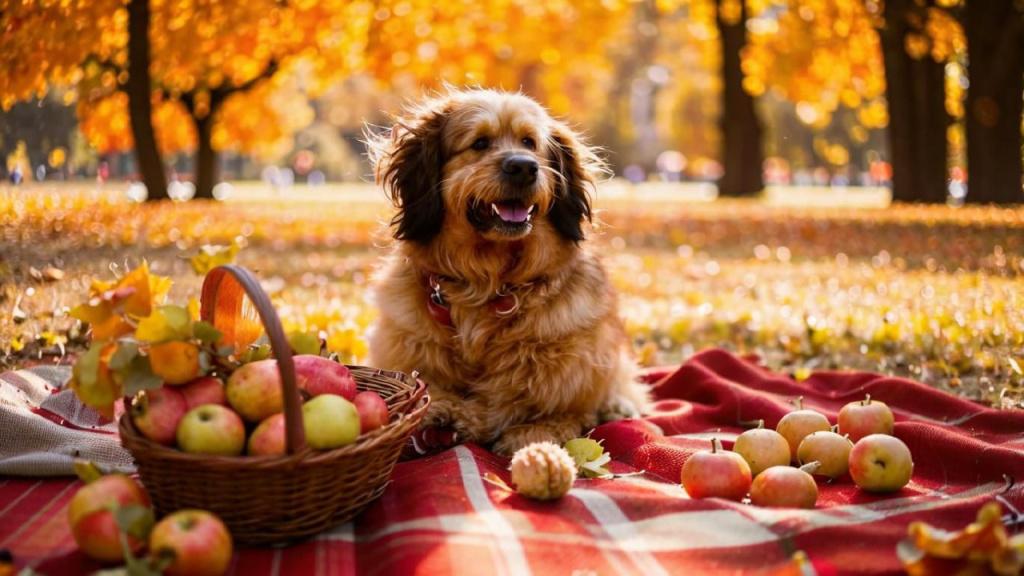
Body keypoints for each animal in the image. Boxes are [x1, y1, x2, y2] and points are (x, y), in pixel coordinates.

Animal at [368, 87, 647, 453]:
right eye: (480, 143)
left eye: (530, 143)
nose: (525, 167)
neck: (490, 280)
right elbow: (434, 392)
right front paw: (445, 412)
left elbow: (552, 413)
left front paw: (528, 433)